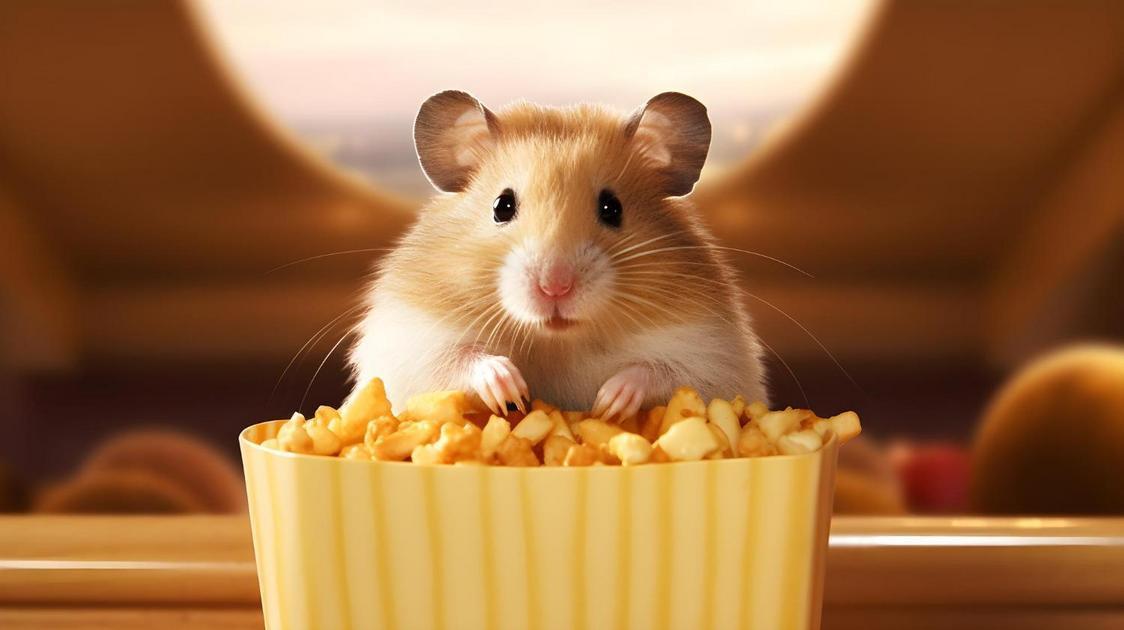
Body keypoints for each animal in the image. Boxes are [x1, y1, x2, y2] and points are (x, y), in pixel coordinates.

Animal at [348, 90, 767, 420]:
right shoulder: (410, 340)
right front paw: (511, 390)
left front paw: (609, 403)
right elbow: (457, 357)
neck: (557, 341)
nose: (555, 288)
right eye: (502, 206)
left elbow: (664, 372)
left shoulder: (713, 355)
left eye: (612, 208)